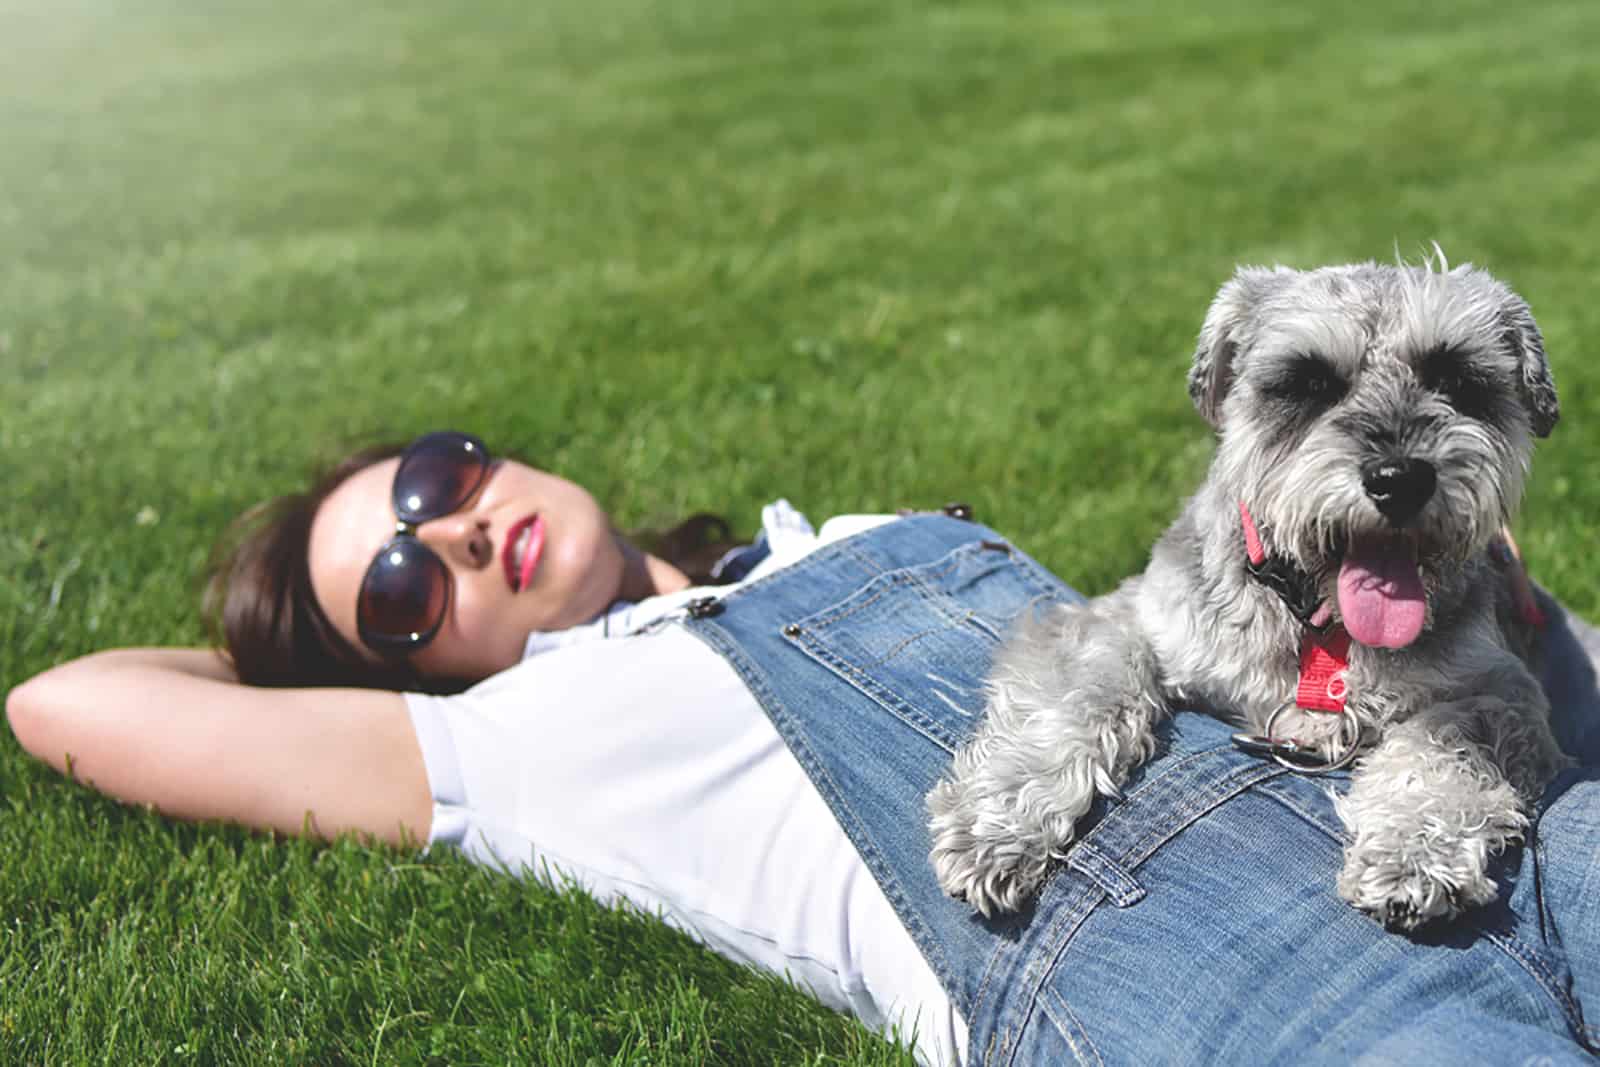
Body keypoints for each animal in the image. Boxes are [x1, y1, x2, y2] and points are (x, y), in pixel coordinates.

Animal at [934, 255, 1568, 927]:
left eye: (1455, 377)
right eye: (1308, 382)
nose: (1399, 478)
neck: (1318, 625)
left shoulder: (1497, 689)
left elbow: (1442, 745)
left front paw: (1412, 854)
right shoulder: (1124, 618)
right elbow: (1082, 692)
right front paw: (995, 823)